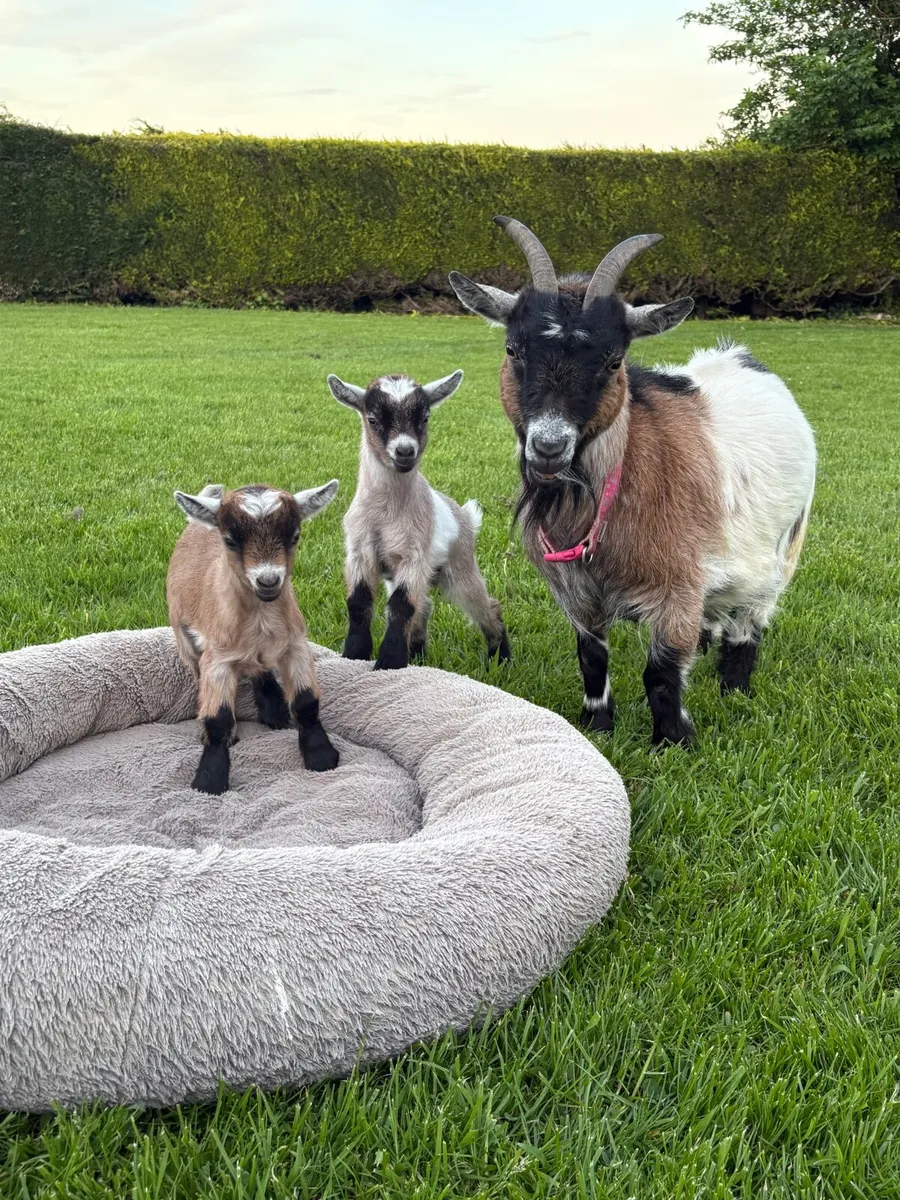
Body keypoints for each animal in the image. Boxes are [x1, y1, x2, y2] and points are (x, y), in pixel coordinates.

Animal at [167, 479, 340, 794]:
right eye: (230, 541)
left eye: (294, 536)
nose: (268, 580)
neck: (261, 619)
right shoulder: (217, 659)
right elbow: (217, 719)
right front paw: (209, 780)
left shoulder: (296, 645)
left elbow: (306, 702)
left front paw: (321, 756)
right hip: (184, 637)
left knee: (259, 669)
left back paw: (274, 711)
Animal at [326, 370, 510, 670]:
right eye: (373, 419)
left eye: (424, 418)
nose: (405, 451)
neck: (386, 514)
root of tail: (465, 517)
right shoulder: (359, 551)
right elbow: (359, 602)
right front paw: (355, 655)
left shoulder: (413, 554)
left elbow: (401, 607)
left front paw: (388, 664)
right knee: (425, 607)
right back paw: (419, 656)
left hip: (459, 567)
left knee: (485, 606)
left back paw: (501, 659)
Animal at [449, 216, 816, 747]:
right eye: (513, 349)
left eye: (613, 360)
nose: (549, 447)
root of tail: (740, 357)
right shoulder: (578, 593)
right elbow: (592, 658)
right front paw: (598, 725)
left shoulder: (678, 586)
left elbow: (660, 674)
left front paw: (673, 742)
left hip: (781, 550)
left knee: (749, 622)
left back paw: (735, 690)